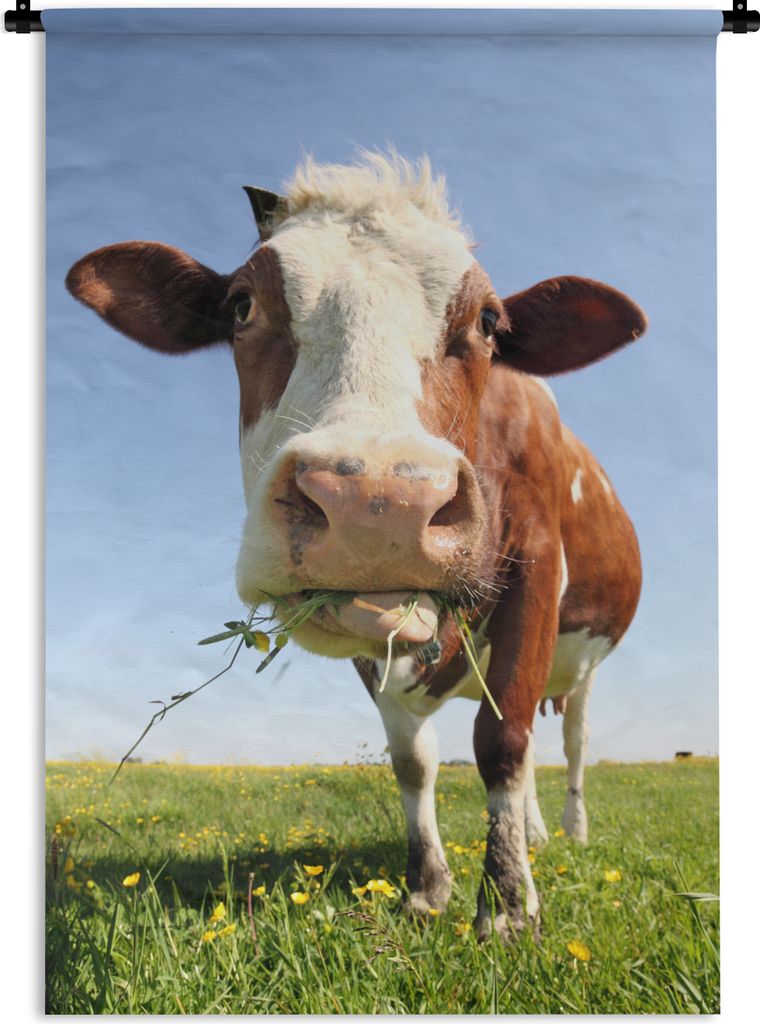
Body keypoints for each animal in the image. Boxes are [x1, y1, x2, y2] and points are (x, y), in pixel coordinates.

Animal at [66, 153, 645, 941]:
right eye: (242, 306)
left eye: (489, 321)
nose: (378, 502)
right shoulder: (371, 628)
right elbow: (413, 760)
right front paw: (429, 887)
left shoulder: (535, 569)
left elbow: (502, 742)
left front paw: (506, 905)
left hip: (582, 665)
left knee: (569, 742)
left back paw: (570, 834)